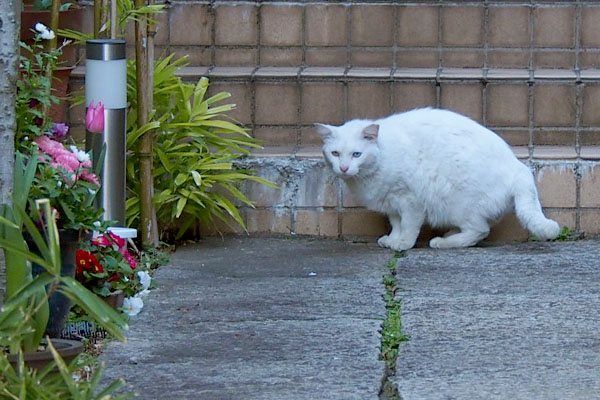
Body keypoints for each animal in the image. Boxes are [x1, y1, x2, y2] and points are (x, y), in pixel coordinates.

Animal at [316, 107, 560, 250]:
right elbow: (396, 224)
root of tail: (518, 167)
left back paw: (442, 242)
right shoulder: (391, 203)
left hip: (458, 203)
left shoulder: (409, 200)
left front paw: (402, 244)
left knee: (480, 230)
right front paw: (392, 240)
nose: (344, 168)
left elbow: (408, 226)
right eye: (335, 153)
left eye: (356, 154)